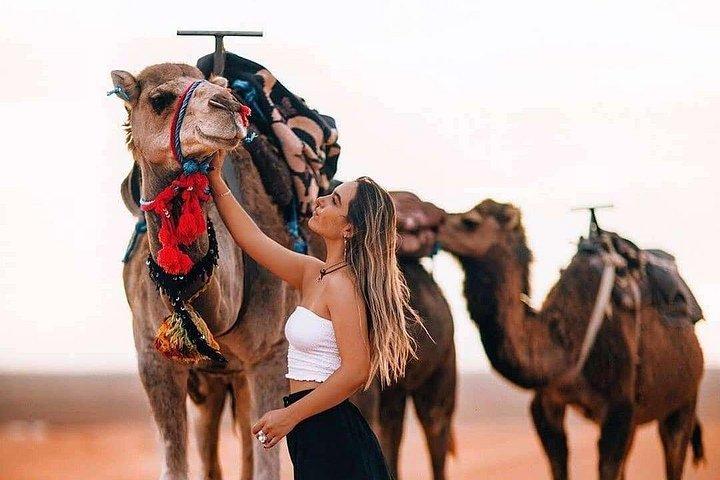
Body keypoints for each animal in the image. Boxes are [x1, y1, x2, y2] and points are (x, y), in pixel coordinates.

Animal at [113, 62, 312, 480]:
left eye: (215, 87)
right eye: (159, 99)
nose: (229, 105)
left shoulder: (271, 353)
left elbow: (267, 466)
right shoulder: (153, 360)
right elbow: (177, 465)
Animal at [436, 199, 706, 480]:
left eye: (470, 222)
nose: (434, 226)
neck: (566, 344)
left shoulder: (619, 409)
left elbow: (608, 468)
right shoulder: (547, 405)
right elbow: (559, 464)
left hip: (685, 398)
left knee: (674, 451)